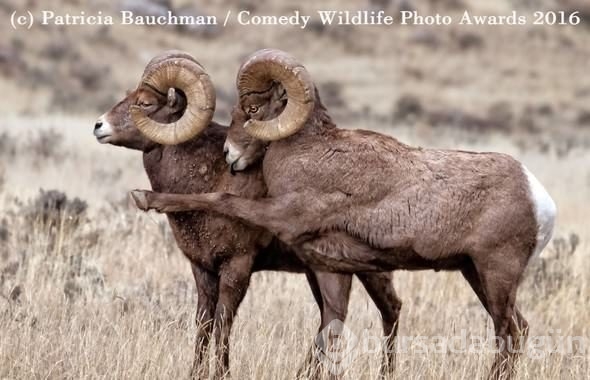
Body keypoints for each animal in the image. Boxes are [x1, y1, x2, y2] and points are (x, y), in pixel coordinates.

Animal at [96, 52, 402, 378]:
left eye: (145, 103)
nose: (99, 126)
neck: (208, 174)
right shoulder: (203, 270)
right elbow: (203, 324)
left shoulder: (237, 266)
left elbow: (223, 323)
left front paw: (222, 373)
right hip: (319, 271)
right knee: (330, 317)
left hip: (369, 270)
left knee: (389, 309)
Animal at [131, 49, 560, 378]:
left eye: (252, 109)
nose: (230, 156)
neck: (310, 153)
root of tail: (539, 198)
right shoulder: (331, 267)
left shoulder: (281, 214)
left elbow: (220, 197)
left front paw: (145, 198)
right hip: (477, 274)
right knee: (517, 330)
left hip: (496, 273)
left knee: (508, 334)